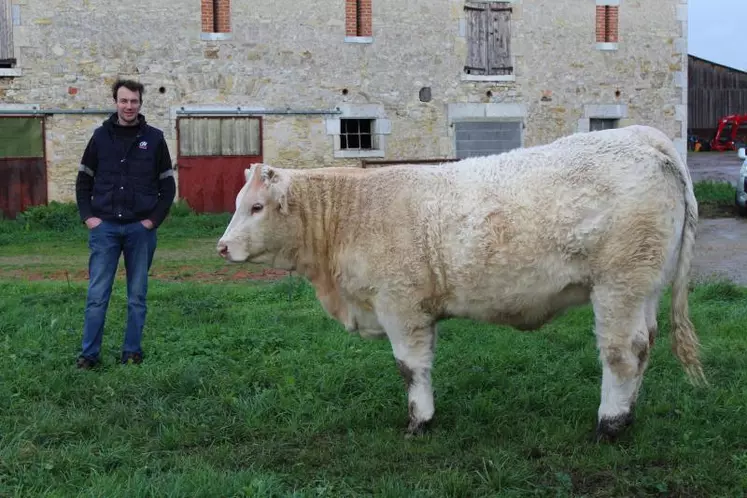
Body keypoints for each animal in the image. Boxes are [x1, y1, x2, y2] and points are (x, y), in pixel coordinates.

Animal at [216, 124, 708, 440]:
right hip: (644, 285)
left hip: (618, 282)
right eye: (239, 203)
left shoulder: (400, 304)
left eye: (256, 207)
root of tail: (641, 137)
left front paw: (419, 422)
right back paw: (627, 417)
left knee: (622, 353)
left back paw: (609, 425)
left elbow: (410, 367)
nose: (221, 247)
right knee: (645, 344)